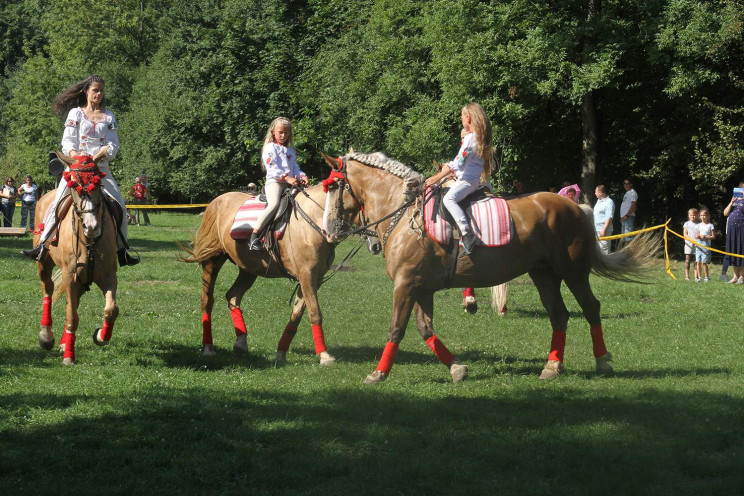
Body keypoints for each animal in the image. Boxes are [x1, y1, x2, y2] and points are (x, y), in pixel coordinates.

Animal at [33, 147, 119, 364]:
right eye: (75, 186)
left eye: (98, 184)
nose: (92, 226)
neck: (89, 242)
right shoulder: (70, 276)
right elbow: (72, 316)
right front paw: (69, 356)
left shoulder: (107, 276)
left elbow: (111, 310)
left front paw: (100, 336)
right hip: (45, 265)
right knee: (48, 291)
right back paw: (46, 336)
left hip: (81, 280)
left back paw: (64, 341)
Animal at [181, 185, 378, 364]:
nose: (376, 245)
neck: (312, 221)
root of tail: (216, 202)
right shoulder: (307, 276)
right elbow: (315, 312)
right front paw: (324, 355)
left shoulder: (314, 279)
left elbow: (297, 313)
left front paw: (281, 353)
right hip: (212, 261)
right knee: (207, 300)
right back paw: (208, 348)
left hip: (249, 269)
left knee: (233, 296)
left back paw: (241, 344)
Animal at [320, 151, 656, 384]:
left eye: (334, 186)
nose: (328, 231)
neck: (404, 217)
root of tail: (576, 206)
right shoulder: (420, 287)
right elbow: (425, 328)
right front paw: (457, 368)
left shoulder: (406, 284)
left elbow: (396, 328)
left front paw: (378, 373)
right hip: (544, 274)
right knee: (559, 315)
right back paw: (552, 366)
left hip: (572, 272)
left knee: (590, 308)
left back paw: (602, 361)